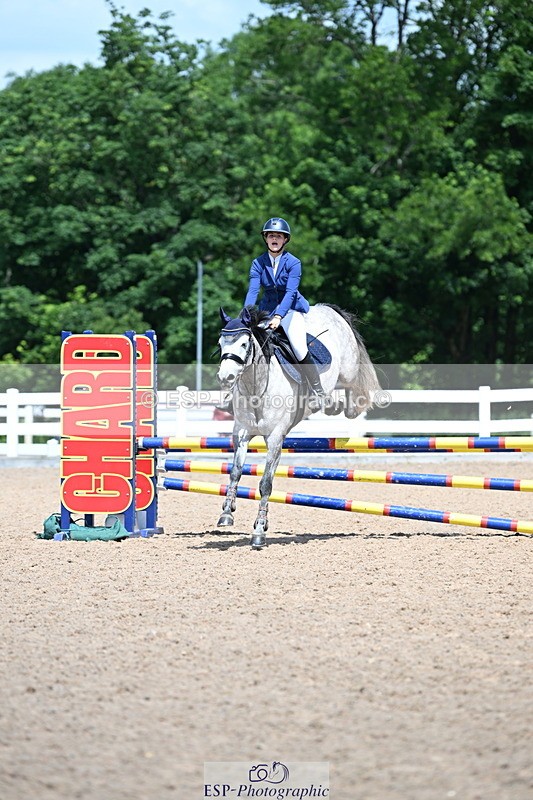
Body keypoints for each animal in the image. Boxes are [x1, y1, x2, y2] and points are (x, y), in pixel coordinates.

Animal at [216, 303, 380, 549]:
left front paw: (259, 530)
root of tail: (327, 308)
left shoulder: (275, 438)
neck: (256, 387)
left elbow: (266, 483)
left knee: (351, 386)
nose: (225, 377)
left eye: (244, 344)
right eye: (220, 344)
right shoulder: (242, 433)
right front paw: (227, 513)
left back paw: (341, 405)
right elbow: (235, 472)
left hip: (348, 369)